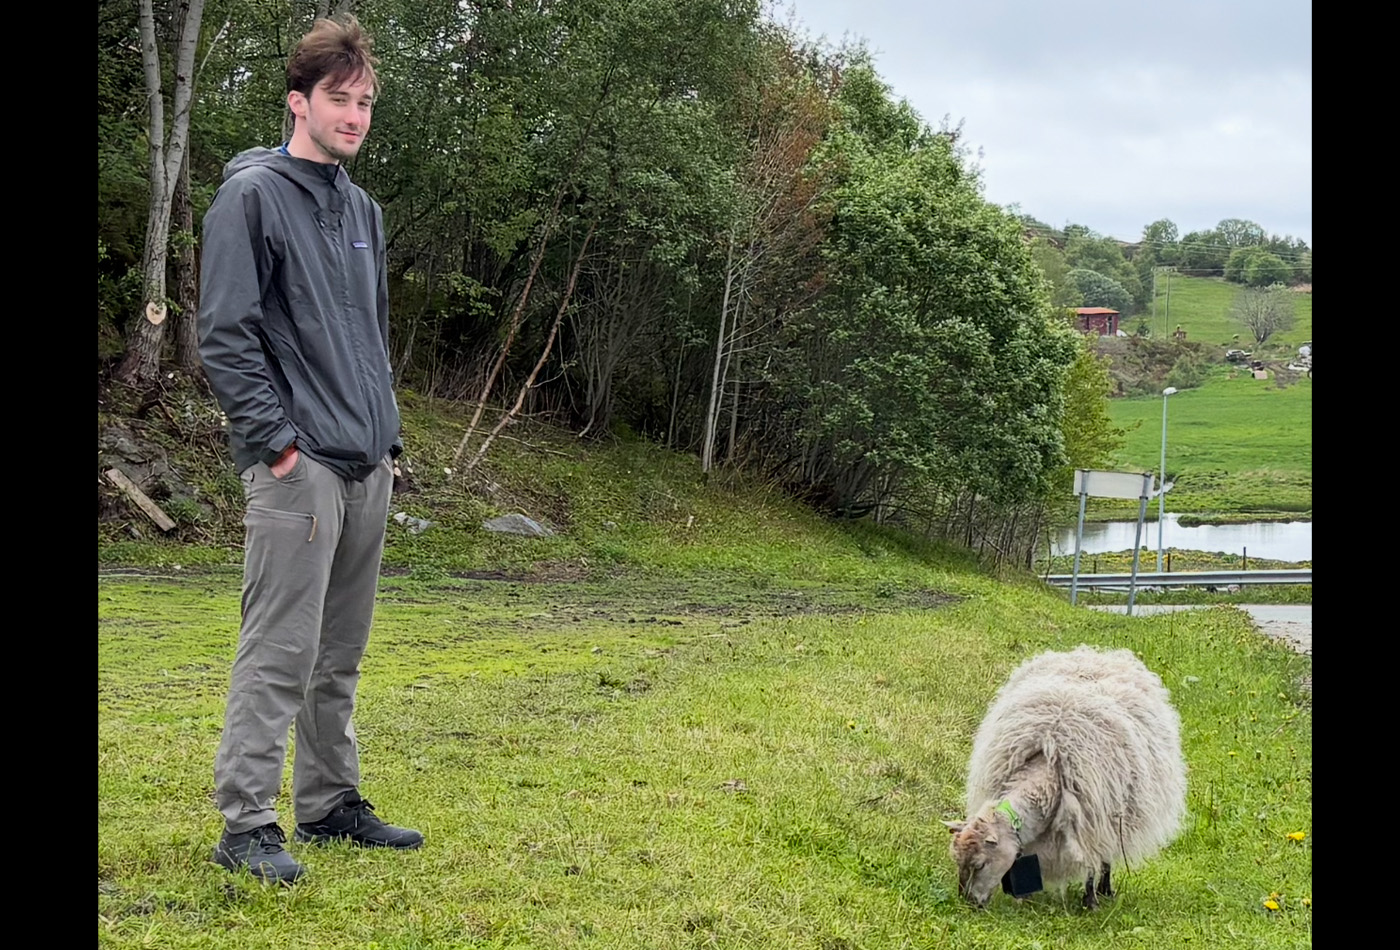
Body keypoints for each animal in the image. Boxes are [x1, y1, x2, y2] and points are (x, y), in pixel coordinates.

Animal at [943, 644, 1187, 910]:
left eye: (979, 864)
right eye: (957, 861)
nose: (968, 903)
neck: (1047, 766)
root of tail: (1098, 653)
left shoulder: (1088, 820)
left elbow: (1090, 863)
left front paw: (1090, 901)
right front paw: (1025, 898)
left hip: (1113, 811)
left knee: (1105, 855)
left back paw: (1105, 890)